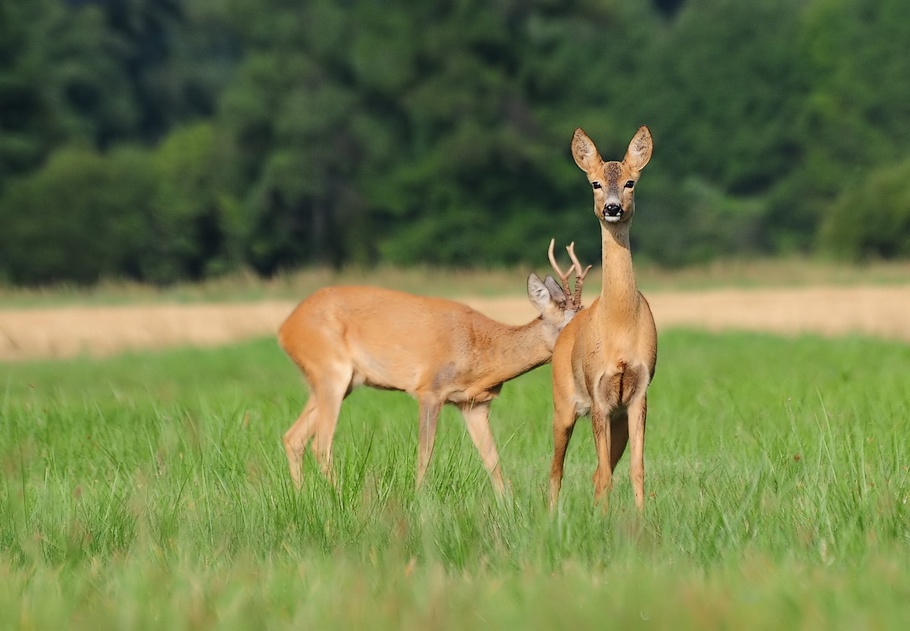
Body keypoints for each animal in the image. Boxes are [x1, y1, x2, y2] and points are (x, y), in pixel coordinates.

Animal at [278, 241, 592, 494]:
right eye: (568, 324)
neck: (483, 352)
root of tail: (285, 329)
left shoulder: (474, 404)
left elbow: (493, 461)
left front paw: (508, 507)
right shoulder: (430, 390)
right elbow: (425, 454)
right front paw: (419, 500)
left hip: (339, 382)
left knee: (293, 438)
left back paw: (303, 496)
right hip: (331, 371)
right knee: (320, 444)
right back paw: (339, 497)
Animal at [548, 124, 656, 512]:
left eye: (630, 182)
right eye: (595, 183)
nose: (612, 208)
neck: (620, 324)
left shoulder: (637, 394)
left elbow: (636, 469)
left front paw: (639, 518)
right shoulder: (597, 394)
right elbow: (605, 473)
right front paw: (604, 520)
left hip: (617, 418)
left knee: (596, 472)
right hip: (563, 403)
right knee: (555, 470)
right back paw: (551, 516)